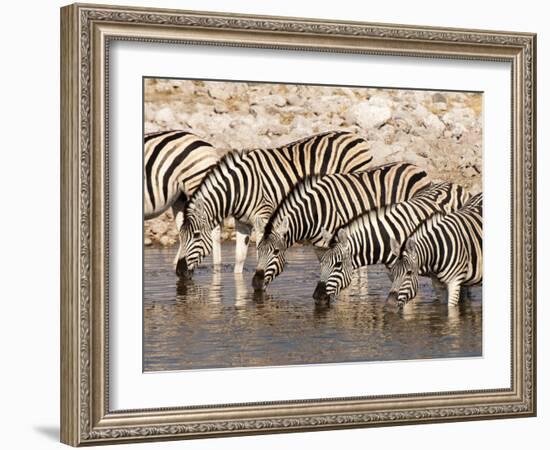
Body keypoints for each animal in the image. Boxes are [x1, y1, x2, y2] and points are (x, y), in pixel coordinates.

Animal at [177, 130, 376, 278]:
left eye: (196, 235)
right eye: (180, 236)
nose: (179, 271)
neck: (240, 188)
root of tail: (358, 137)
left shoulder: (263, 219)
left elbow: (261, 251)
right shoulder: (242, 223)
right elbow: (240, 257)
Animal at [252, 162, 434, 292]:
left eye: (276, 252)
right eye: (258, 250)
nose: (255, 284)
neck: (315, 211)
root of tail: (416, 167)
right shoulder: (320, 247)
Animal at [312, 182, 472, 302]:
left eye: (338, 264)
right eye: (321, 263)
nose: (317, 296)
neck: (388, 237)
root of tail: (454, 184)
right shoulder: (394, 274)